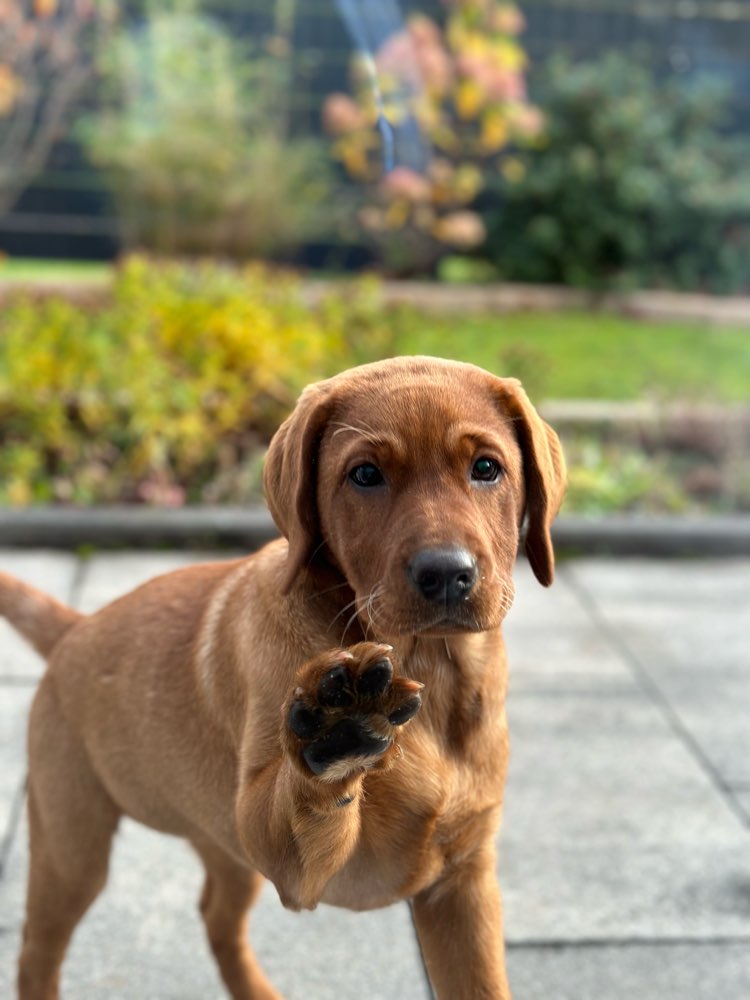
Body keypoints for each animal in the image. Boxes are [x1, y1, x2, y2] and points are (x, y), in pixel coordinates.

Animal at [0, 360, 568, 1000]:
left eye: (486, 468)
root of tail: (76, 628)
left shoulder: (463, 884)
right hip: (73, 843)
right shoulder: (294, 860)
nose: (446, 573)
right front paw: (338, 731)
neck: (429, 667)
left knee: (215, 915)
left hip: (220, 837)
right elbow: (310, 798)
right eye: (365, 475)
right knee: (37, 949)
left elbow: (484, 984)